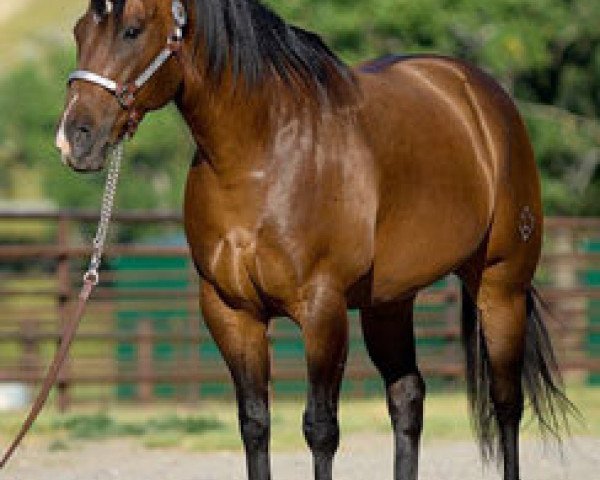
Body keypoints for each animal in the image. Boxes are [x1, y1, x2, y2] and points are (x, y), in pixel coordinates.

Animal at [57, 0, 572, 480]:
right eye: (79, 30)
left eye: (132, 30)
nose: (74, 139)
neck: (260, 155)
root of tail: (479, 93)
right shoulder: (230, 311)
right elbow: (254, 424)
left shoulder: (322, 308)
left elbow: (320, 428)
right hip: (389, 302)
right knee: (407, 397)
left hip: (501, 287)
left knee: (506, 403)